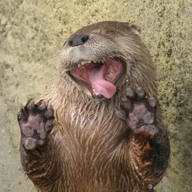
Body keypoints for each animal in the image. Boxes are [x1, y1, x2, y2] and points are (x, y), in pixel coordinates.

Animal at [17, 21, 170, 192]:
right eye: (67, 41)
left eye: (108, 32)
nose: (77, 39)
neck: (90, 132)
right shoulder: (54, 179)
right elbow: (41, 172)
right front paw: (34, 125)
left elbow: (151, 167)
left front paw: (141, 115)